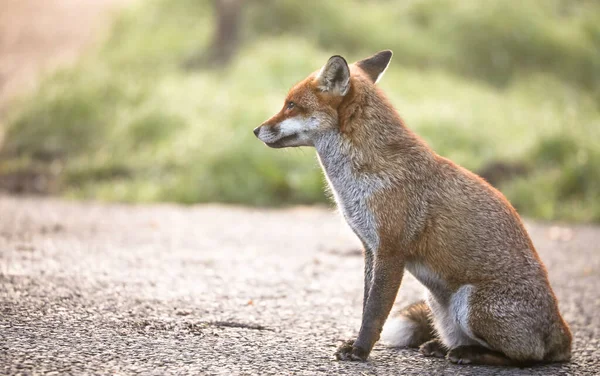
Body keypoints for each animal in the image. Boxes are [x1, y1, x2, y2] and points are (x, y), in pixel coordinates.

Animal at [253, 51, 572, 366]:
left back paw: (469, 355)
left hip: (470, 303)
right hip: (436, 303)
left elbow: (374, 312)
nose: (256, 130)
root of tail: (564, 333)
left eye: (291, 105)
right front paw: (357, 344)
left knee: (525, 357)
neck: (358, 181)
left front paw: (360, 350)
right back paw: (443, 347)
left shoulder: (391, 250)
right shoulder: (370, 248)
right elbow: (366, 304)